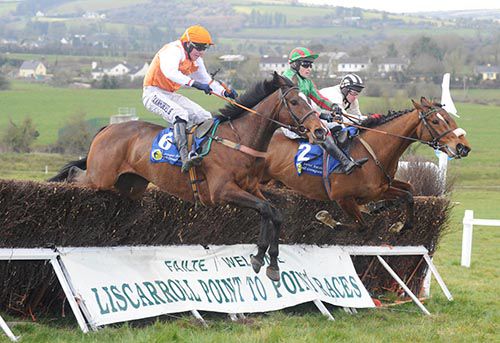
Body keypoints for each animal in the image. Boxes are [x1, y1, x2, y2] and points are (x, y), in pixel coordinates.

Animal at [47, 73, 328, 282]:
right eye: (295, 102)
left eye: (309, 101)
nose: (320, 131)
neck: (239, 140)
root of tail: (108, 128)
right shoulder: (222, 191)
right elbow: (265, 209)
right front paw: (260, 257)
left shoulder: (251, 187)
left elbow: (273, 212)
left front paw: (269, 263)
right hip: (100, 176)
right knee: (74, 175)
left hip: (130, 186)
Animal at [264, 97, 470, 231]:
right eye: (435, 121)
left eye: (449, 118)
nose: (462, 147)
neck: (373, 153)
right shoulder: (344, 199)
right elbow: (360, 225)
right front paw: (328, 219)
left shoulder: (380, 189)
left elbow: (409, 194)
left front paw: (399, 225)